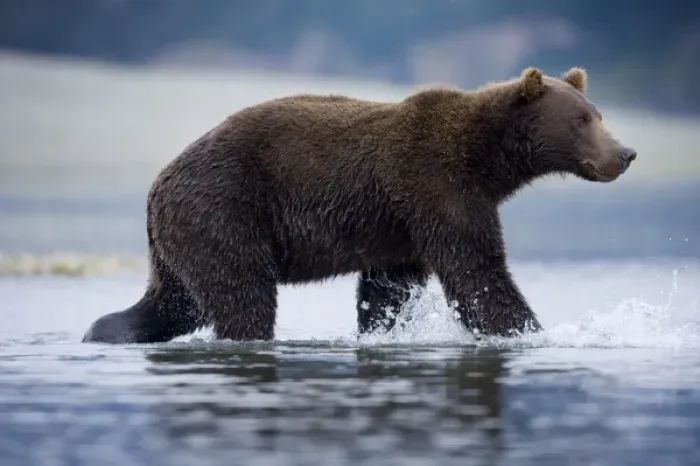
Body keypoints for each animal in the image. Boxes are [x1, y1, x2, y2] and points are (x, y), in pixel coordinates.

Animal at [82, 66, 637, 344]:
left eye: (598, 113)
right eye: (581, 119)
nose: (625, 153)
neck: (487, 161)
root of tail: (157, 186)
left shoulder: (400, 226)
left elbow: (387, 288)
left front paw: (377, 330)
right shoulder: (434, 184)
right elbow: (477, 271)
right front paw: (533, 331)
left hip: (184, 236)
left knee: (177, 301)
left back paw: (105, 328)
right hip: (225, 211)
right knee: (242, 298)